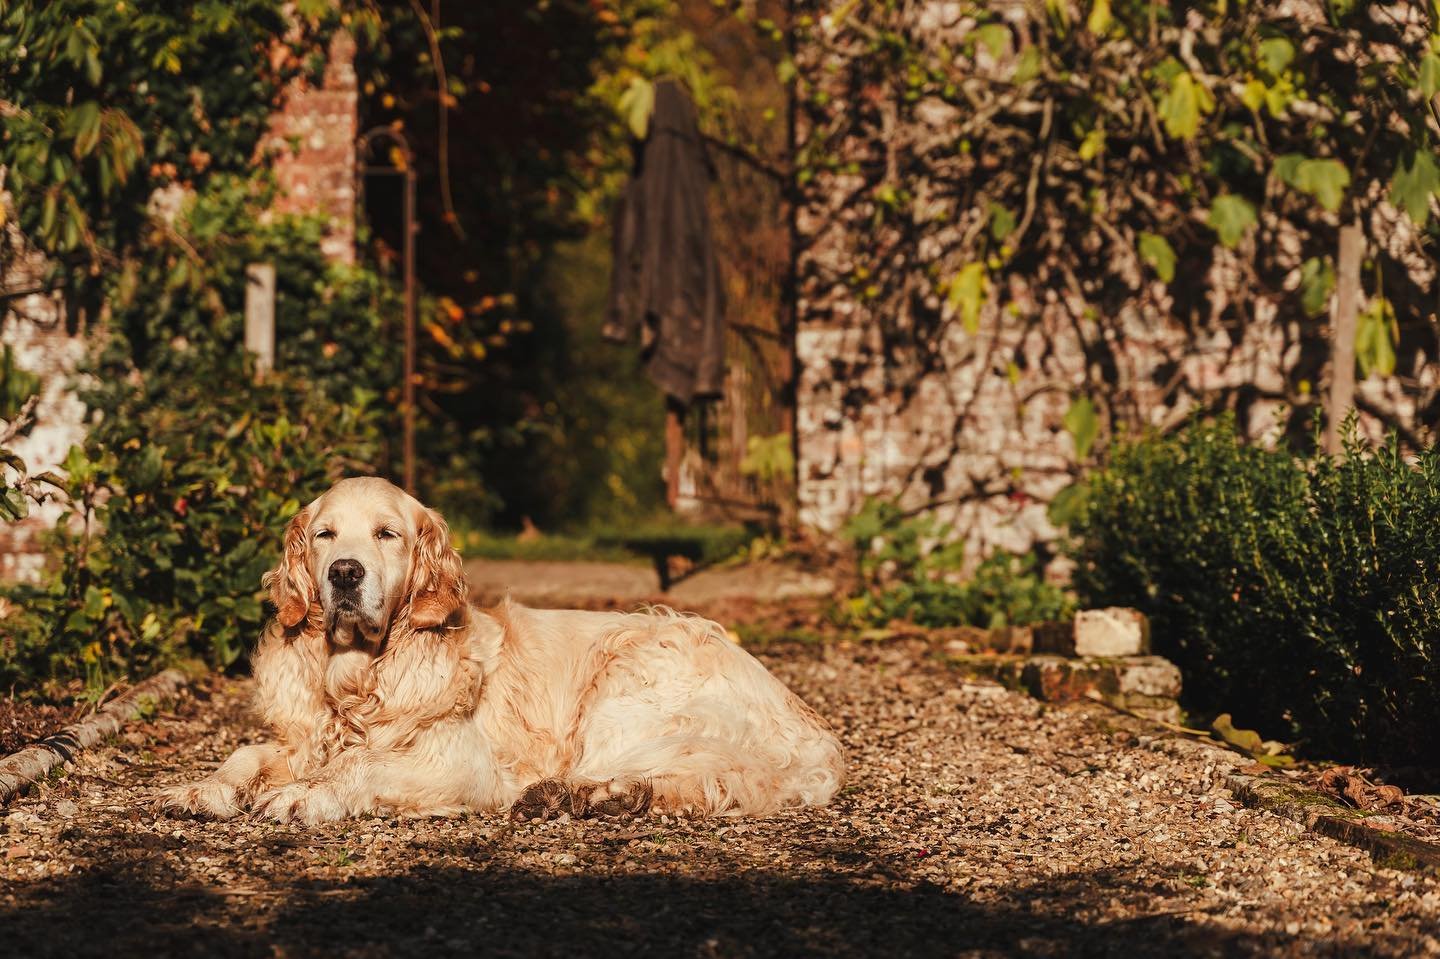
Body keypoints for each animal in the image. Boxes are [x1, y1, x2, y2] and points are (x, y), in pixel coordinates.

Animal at [154, 475, 840, 817]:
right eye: (324, 535)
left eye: (387, 534)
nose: (345, 573)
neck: (358, 675)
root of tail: (813, 729)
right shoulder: (301, 737)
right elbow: (245, 754)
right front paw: (205, 788)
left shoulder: (460, 761)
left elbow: (359, 765)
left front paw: (305, 795)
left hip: (634, 669)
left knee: (716, 775)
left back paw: (591, 793)